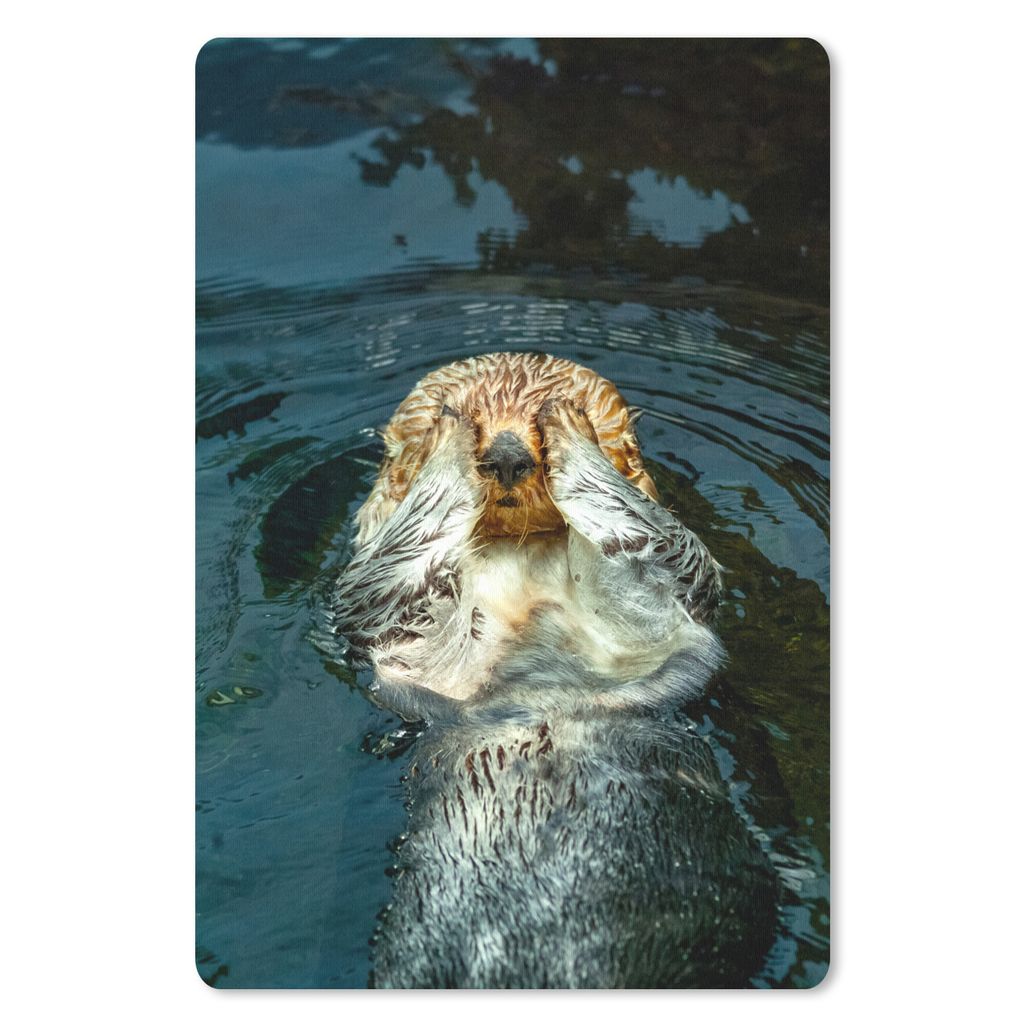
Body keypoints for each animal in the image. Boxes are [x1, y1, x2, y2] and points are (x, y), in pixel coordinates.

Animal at [329, 352, 780, 988]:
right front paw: (447, 435)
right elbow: (396, 566)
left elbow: (651, 539)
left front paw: (571, 425)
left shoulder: (667, 603)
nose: (507, 453)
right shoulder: (390, 621)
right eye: (469, 409)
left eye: (536, 418)